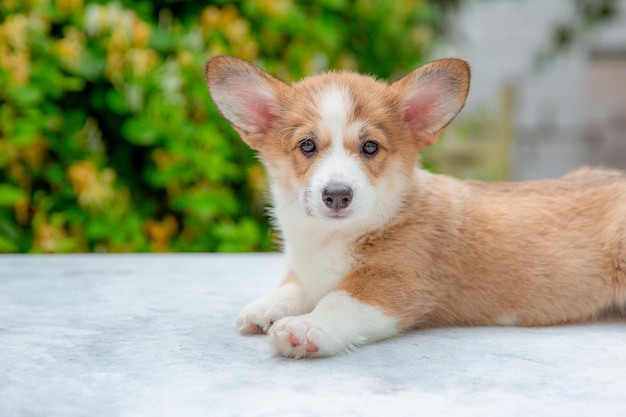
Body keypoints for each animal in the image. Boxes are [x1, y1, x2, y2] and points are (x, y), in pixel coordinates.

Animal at [205, 55, 624, 360]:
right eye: (307, 145)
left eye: (370, 147)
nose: (337, 195)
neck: (333, 236)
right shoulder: (308, 272)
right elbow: (295, 287)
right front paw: (265, 307)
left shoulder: (395, 283)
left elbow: (339, 301)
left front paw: (305, 328)